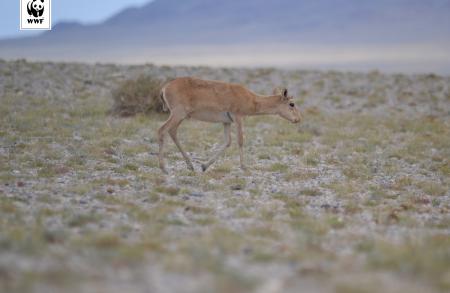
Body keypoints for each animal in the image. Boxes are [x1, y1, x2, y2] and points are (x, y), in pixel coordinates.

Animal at [156, 77, 300, 173]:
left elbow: (228, 142)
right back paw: (163, 168)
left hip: (180, 117)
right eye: (292, 104)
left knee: (172, 132)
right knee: (162, 130)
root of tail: (164, 88)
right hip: (178, 114)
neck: (252, 99)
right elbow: (240, 140)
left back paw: (190, 165)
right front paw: (244, 167)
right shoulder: (238, 118)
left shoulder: (226, 122)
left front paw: (204, 166)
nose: (298, 119)